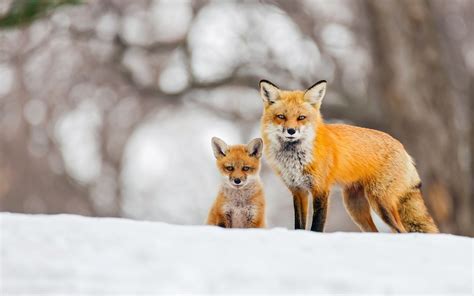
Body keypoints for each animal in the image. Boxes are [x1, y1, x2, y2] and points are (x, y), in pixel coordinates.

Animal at [260, 80, 436, 232]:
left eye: (301, 117)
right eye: (281, 116)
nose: (291, 131)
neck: (295, 159)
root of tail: (403, 148)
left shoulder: (321, 189)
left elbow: (317, 226)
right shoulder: (298, 191)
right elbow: (299, 226)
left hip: (380, 202)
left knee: (401, 231)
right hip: (355, 208)